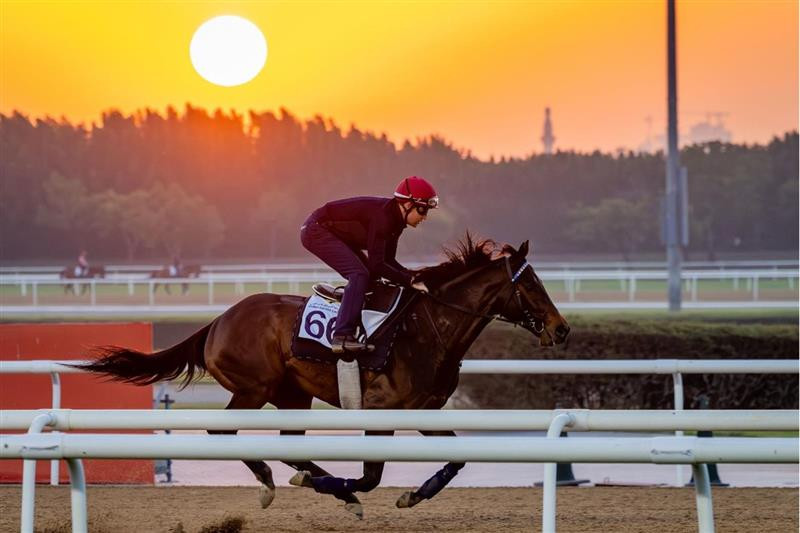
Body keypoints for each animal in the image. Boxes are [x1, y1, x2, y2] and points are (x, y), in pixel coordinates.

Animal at [76, 236, 569, 517]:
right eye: (530, 285)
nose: (562, 328)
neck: (428, 328)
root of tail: (217, 320)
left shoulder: (423, 411)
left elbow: (458, 460)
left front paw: (412, 495)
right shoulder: (380, 412)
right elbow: (370, 477)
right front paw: (353, 490)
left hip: (292, 395)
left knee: (290, 445)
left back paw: (314, 483)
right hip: (254, 388)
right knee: (225, 432)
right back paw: (277, 482)